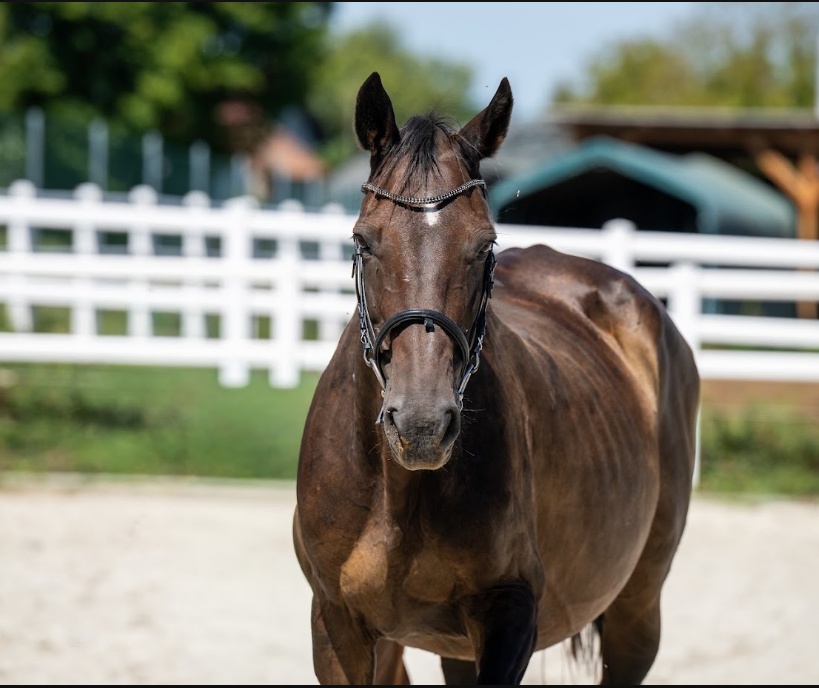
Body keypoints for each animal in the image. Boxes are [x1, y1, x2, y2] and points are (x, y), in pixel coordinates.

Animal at [292, 72, 700, 685]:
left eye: (484, 245)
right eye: (364, 240)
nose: (421, 426)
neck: (400, 492)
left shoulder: (511, 617)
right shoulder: (337, 623)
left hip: (636, 609)